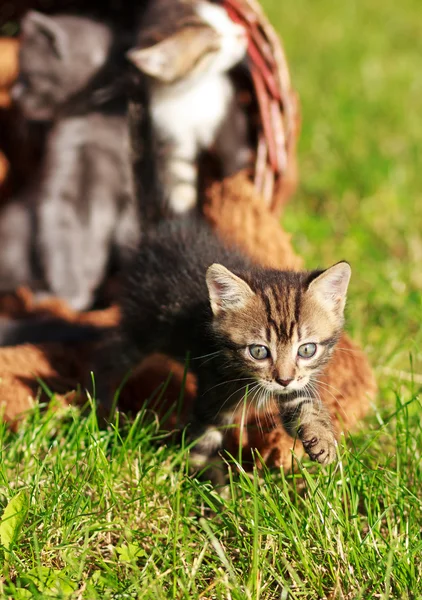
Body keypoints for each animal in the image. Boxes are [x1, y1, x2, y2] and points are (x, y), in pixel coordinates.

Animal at [100, 218, 352, 480]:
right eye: (259, 352)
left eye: (306, 350)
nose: (284, 380)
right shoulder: (213, 394)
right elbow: (203, 445)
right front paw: (211, 486)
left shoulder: (298, 383)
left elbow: (304, 404)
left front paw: (322, 439)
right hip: (140, 329)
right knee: (112, 357)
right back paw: (104, 404)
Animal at [127, 0, 249, 216]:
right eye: (214, 45)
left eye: (224, 17)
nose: (242, 32)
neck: (192, 92)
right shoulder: (173, 135)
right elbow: (179, 167)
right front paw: (183, 203)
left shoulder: (227, 109)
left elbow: (231, 146)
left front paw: (233, 181)